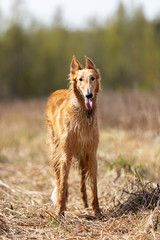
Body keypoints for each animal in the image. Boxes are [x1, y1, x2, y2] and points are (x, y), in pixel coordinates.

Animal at [45, 56, 101, 218]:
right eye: (80, 79)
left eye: (92, 78)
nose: (89, 95)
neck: (83, 113)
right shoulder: (66, 155)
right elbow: (63, 184)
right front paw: (60, 211)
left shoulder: (91, 154)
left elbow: (93, 185)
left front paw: (97, 211)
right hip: (55, 153)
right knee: (59, 179)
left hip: (83, 158)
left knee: (82, 182)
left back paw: (85, 202)